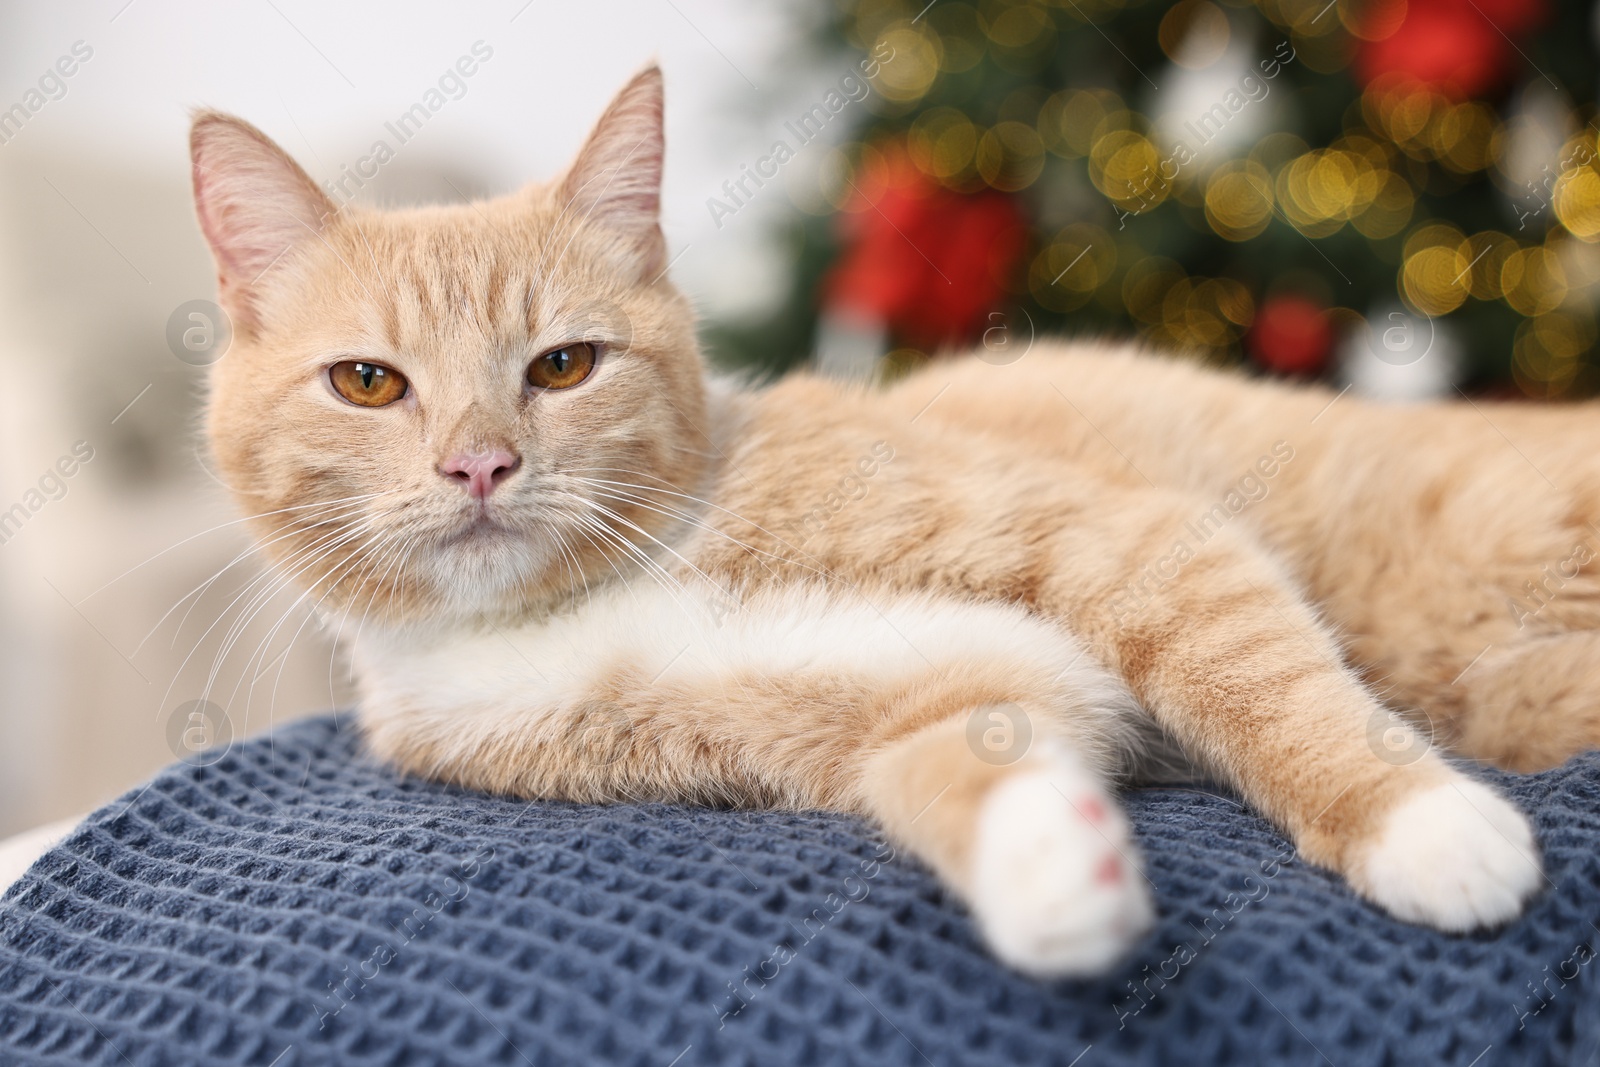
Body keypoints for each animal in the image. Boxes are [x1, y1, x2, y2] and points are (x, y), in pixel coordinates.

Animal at [181, 70, 1568, 979]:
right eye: (369, 382)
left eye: (564, 365)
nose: (480, 463)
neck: (611, 590)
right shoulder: (928, 694)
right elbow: (958, 766)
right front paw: (1051, 874)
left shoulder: (1130, 538)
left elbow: (1265, 688)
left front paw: (1416, 822)